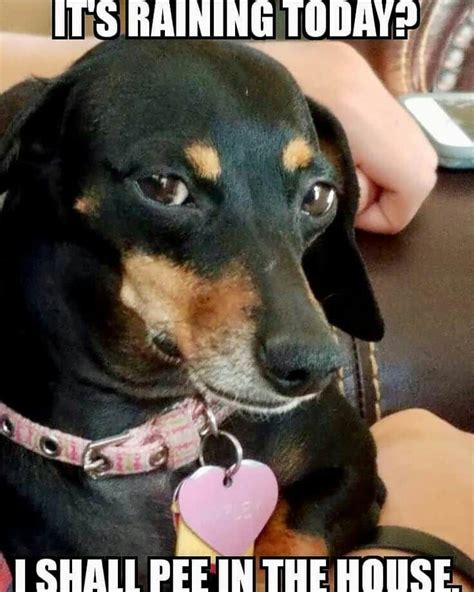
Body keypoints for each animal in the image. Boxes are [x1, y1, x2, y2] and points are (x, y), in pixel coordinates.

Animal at [0, 39, 386, 584]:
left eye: (319, 195)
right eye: (163, 186)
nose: (314, 367)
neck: (153, 432)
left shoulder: (353, 466)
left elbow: (291, 534)